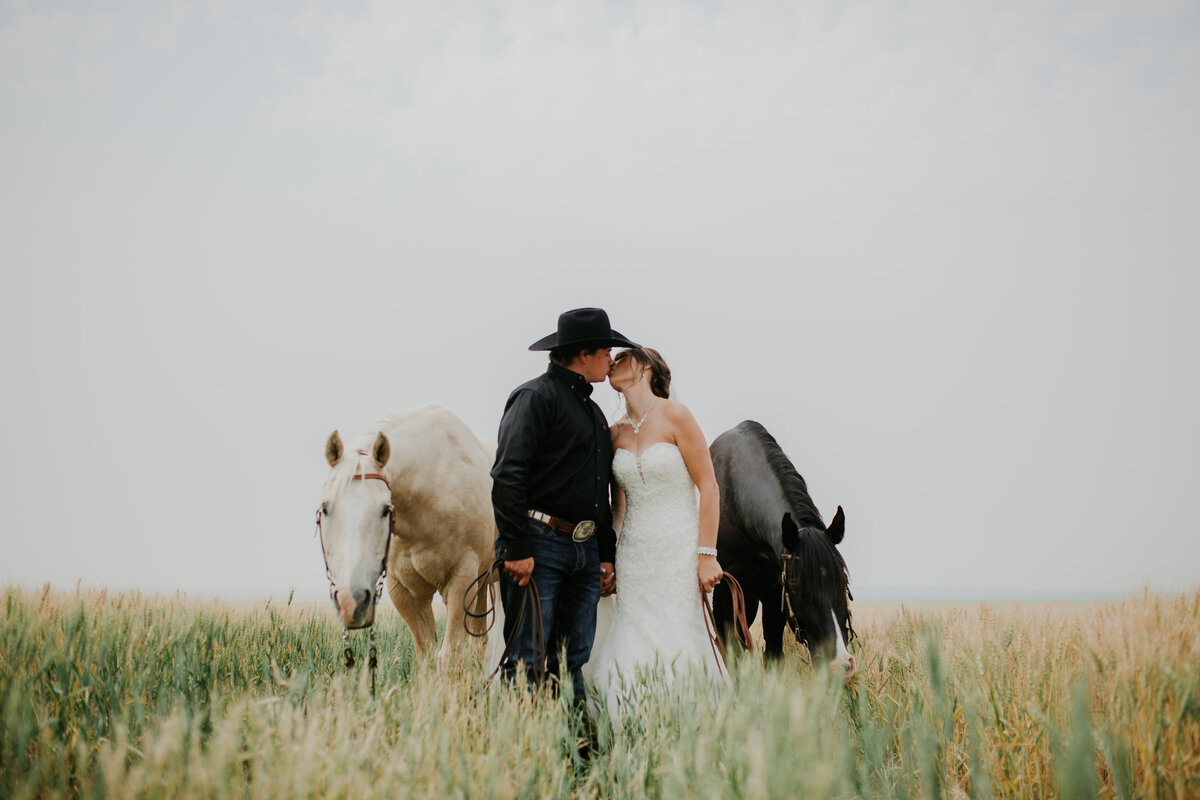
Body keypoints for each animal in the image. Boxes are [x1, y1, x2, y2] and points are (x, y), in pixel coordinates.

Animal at [316, 402, 499, 666]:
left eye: (385, 510)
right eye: (325, 508)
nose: (352, 601)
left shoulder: (461, 580)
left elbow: (449, 657)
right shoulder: (403, 590)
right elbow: (427, 655)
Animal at [705, 419, 859, 676]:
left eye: (844, 582)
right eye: (796, 586)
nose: (840, 664)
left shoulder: (774, 594)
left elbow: (773, 656)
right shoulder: (727, 590)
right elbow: (730, 654)